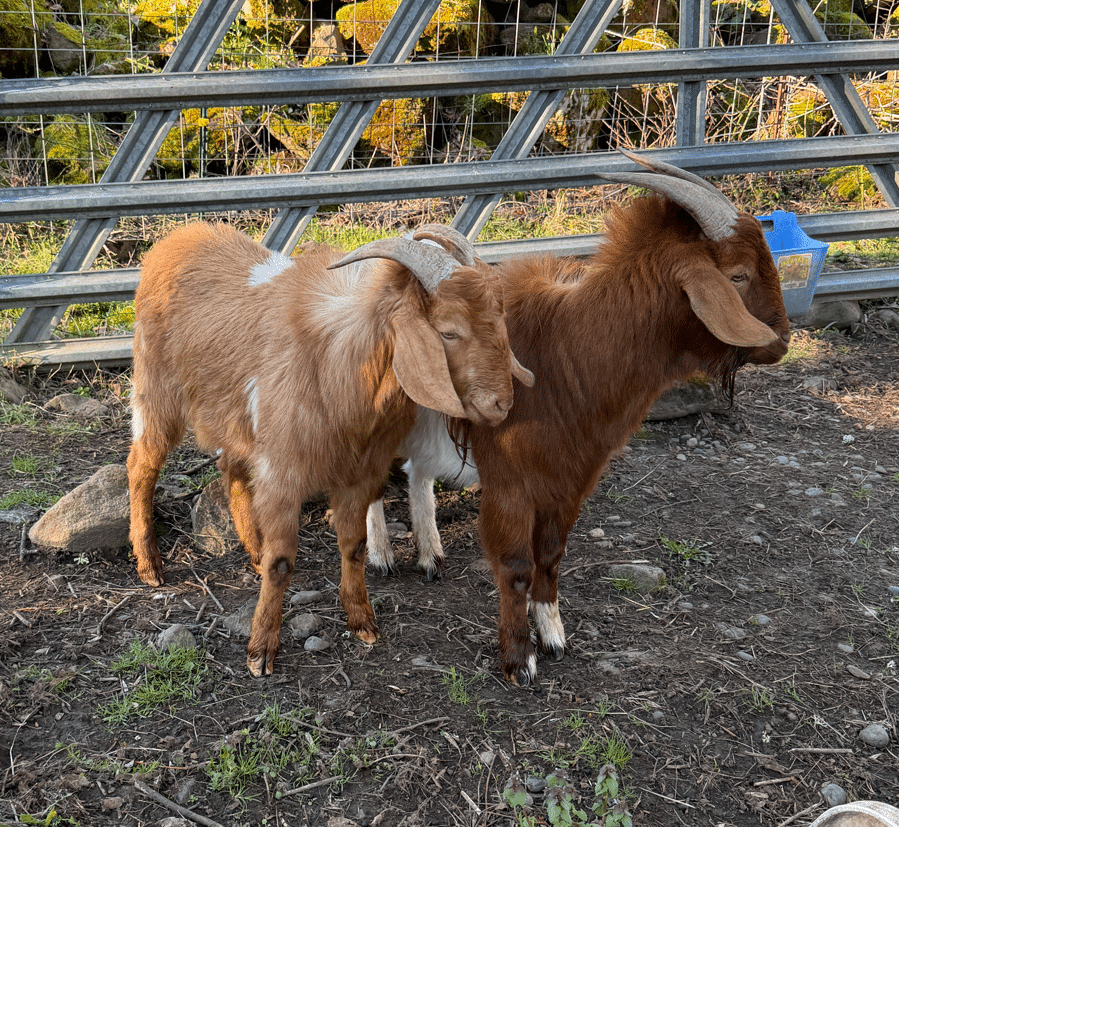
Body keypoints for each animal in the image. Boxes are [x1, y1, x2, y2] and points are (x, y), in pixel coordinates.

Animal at [126, 221, 533, 678]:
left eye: (498, 319)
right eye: (448, 331)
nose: (502, 404)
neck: (338, 368)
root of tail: (176, 238)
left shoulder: (360, 472)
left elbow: (353, 546)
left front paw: (362, 622)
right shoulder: (283, 472)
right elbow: (283, 563)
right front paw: (260, 651)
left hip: (236, 419)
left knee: (230, 467)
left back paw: (252, 552)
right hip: (156, 392)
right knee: (142, 467)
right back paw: (150, 566)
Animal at [367, 151, 791, 686]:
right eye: (736, 275)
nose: (783, 340)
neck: (569, 350)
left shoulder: (573, 476)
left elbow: (550, 556)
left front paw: (553, 635)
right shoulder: (510, 480)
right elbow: (515, 565)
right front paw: (518, 659)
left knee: (417, 473)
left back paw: (429, 553)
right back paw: (380, 554)